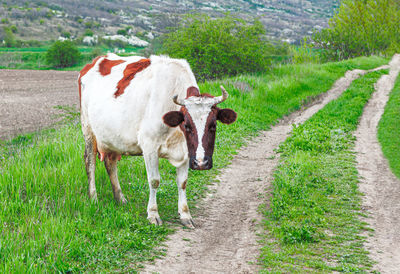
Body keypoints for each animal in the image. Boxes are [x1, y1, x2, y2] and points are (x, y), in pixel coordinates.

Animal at [79, 53, 236, 227]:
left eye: (213, 125)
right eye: (187, 125)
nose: (201, 163)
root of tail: (99, 59)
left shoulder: (187, 151)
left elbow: (183, 182)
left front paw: (185, 214)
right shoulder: (149, 146)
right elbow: (154, 180)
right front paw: (153, 214)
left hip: (112, 137)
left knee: (110, 163)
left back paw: (120, 198)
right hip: (88, 129)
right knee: (90, 162)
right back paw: (94, 198)